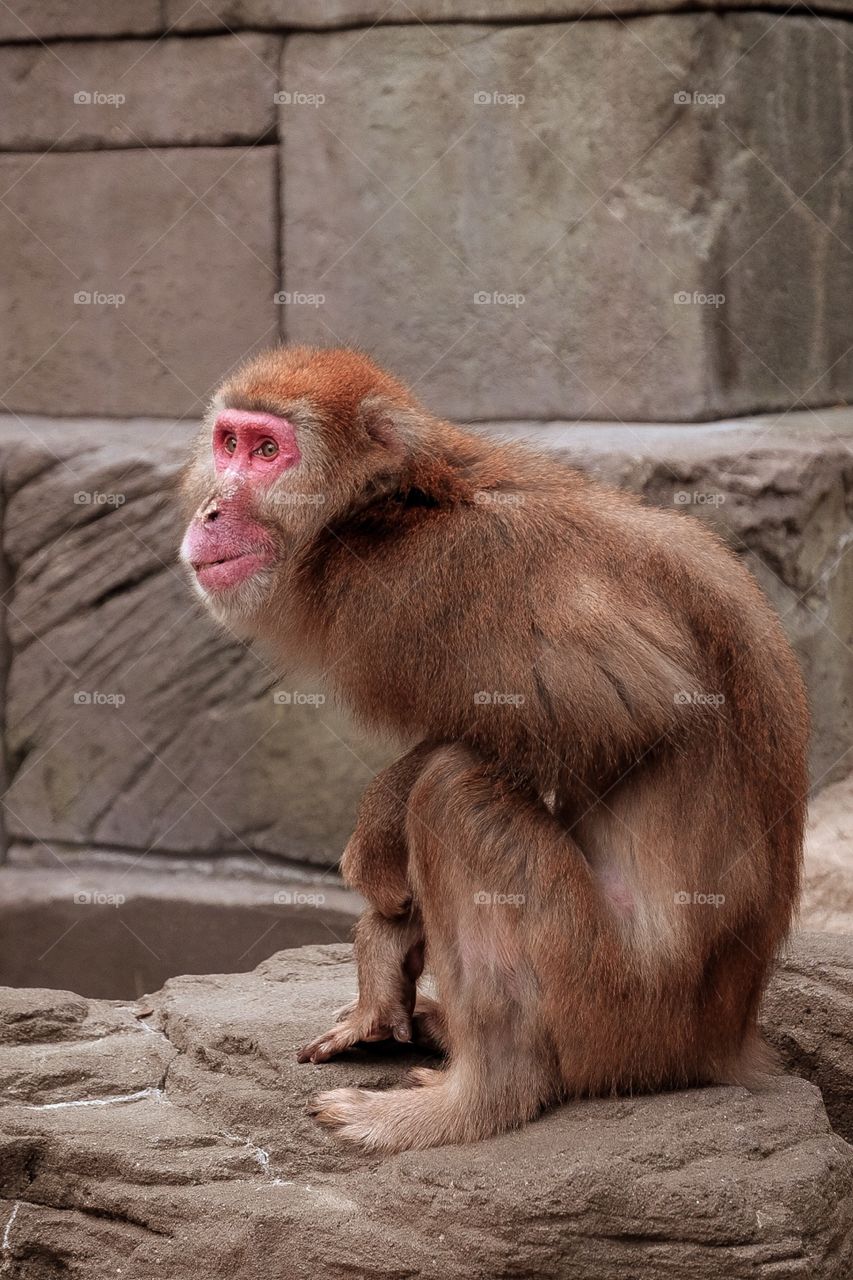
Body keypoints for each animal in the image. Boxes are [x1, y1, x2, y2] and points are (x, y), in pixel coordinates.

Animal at [178, 345, 804, 1157]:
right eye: (226, 443)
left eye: (265, 452)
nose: (210, 511)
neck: (399, 504)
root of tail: (724, 1042)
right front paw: (386, 948)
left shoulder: (441, 584)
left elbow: (625, 715)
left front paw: (377, 847)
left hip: (613, 1006)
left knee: (453, 789)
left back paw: (477, 1096)